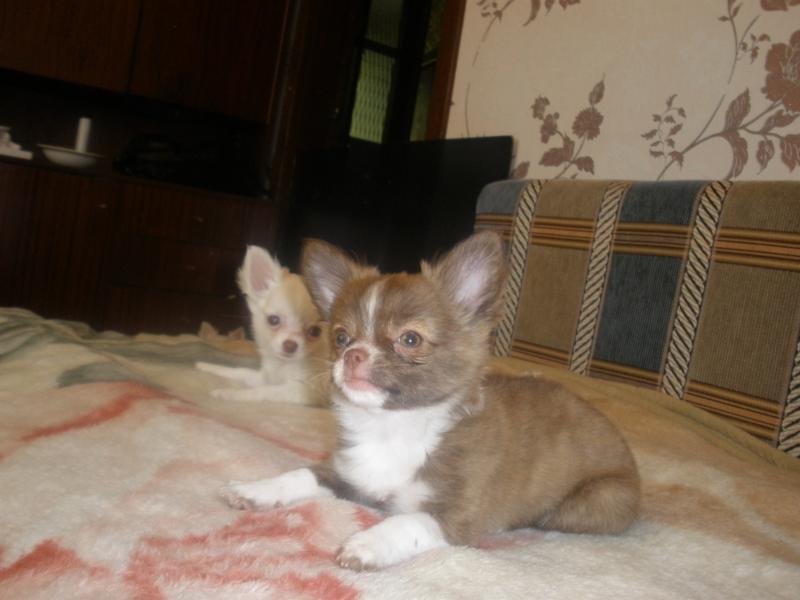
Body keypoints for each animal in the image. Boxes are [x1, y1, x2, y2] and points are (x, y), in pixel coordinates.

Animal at [196, 245, 329, 406]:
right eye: (273, 320)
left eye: (315, 331)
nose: (290, 345)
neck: (282, 365)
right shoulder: (267, 377)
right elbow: (240, 371)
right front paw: (206, 366)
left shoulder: (306, 391)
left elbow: (263, 391)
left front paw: (229, 393)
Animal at [218, 232, 640, 569]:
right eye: (339, 337)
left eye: (410, 339)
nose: (353, 354)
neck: (392, 428)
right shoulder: (348, 474)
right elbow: (301, 473)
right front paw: (257, 490)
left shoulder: (455, 517)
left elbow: (407, 521)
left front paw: (367, 543)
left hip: (592, 504)